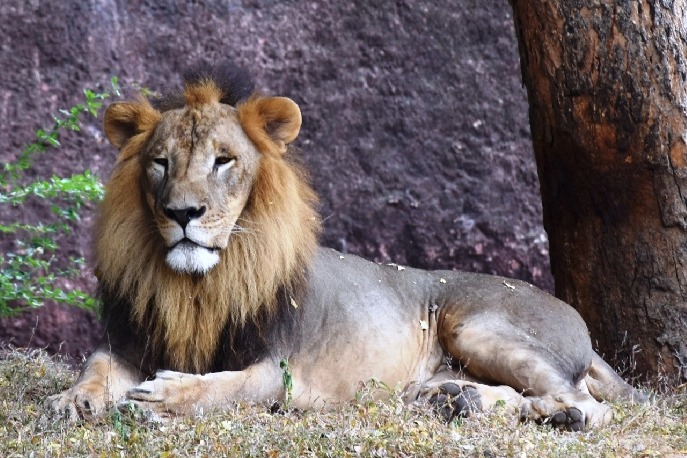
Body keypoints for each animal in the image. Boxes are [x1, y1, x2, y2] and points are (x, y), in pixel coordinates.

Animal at [47, 65, 645, 431]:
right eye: (160, 162)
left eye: (223, 160)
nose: (182, 213)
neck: (199, 285)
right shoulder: (131, 341)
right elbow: (96, 363)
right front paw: (72, 399)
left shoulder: (282, 371)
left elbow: (227, 389)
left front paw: (166, 396)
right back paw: (459, 399)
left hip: (477, 326)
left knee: (589, 406)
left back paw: (546, 413)